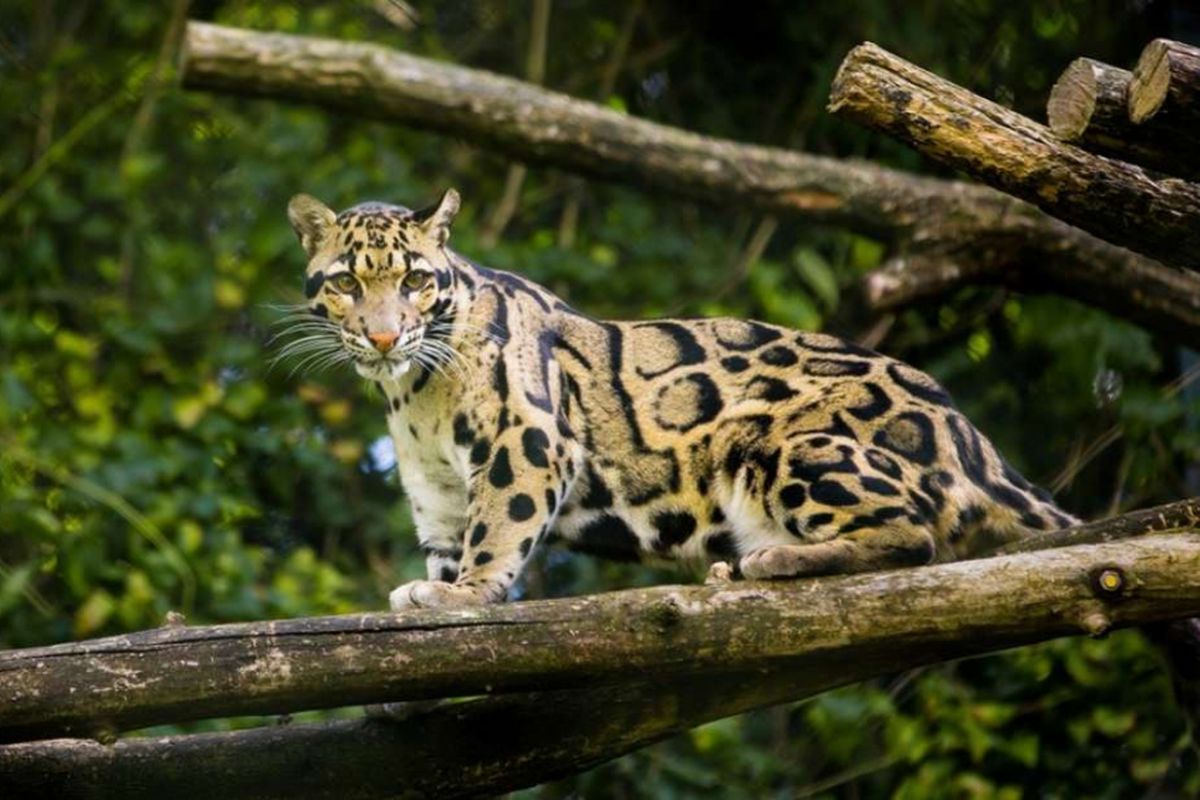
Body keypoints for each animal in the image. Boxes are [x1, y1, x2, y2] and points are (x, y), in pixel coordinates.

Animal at [285, 190, 1075, 609]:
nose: (385, 335)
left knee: (914, 535)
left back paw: (772, 560)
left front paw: (465, 595)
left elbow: (497, 531)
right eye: (347, 283)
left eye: (416, 281)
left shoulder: (528, 442)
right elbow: (452, 543)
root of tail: (975, 442)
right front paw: (440, 588)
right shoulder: (437, 490)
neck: (412, 392)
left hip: (785, 445)